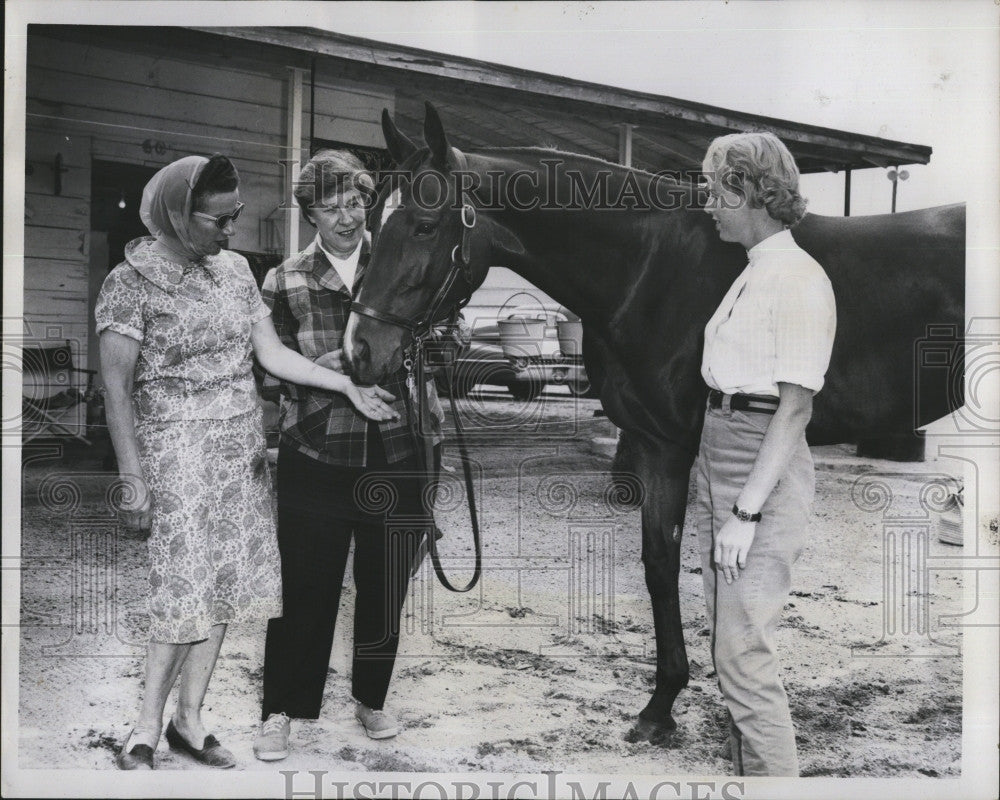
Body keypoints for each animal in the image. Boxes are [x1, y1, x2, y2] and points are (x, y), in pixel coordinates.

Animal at [348, 103, 964, 740]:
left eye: (424, 225)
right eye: (371, 221)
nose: (360, 350)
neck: (648, 268)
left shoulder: (674, 444)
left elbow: (672, 565)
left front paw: (667, 701)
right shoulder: (649, 441)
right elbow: (657, 566)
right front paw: (661, 704)